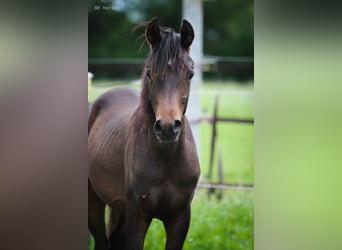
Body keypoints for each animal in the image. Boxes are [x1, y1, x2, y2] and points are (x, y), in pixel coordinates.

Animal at [87, 18, 200, 250]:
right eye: (149, 73)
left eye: (191, 74)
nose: (167, 127)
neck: (167, 159)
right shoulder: (137, 216)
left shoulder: (180, 218)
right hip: (94, 202)